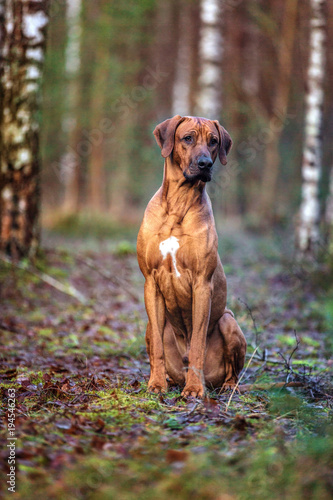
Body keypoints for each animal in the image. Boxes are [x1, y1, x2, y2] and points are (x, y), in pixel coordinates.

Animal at [136, 115, 245, 396]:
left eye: (214, 141)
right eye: (187, 138)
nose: (205, 163)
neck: (178, 204)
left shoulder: (201, 284)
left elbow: (197, 342)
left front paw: (195, 389)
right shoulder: (151, 282)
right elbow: (158, 348)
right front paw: (156, 384)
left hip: (228, 320)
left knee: (233, 372)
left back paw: (225, 386)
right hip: (151, 326)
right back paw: (166, 378)